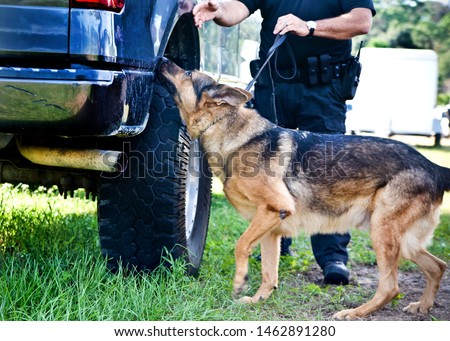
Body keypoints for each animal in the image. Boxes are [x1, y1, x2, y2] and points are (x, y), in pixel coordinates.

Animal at [157, 58, 446, 318]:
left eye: (189, 72)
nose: (161, 59)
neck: (227, 128)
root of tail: (433, 166)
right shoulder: (271, 226)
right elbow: (269, 272)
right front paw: (258, 299)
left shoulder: (274, 209)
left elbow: (240, 246)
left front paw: (239, 283)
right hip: (403, 241)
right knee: (438, 266)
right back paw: (422, 306)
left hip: (382, 232)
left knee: (391, 287)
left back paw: (354, 313)